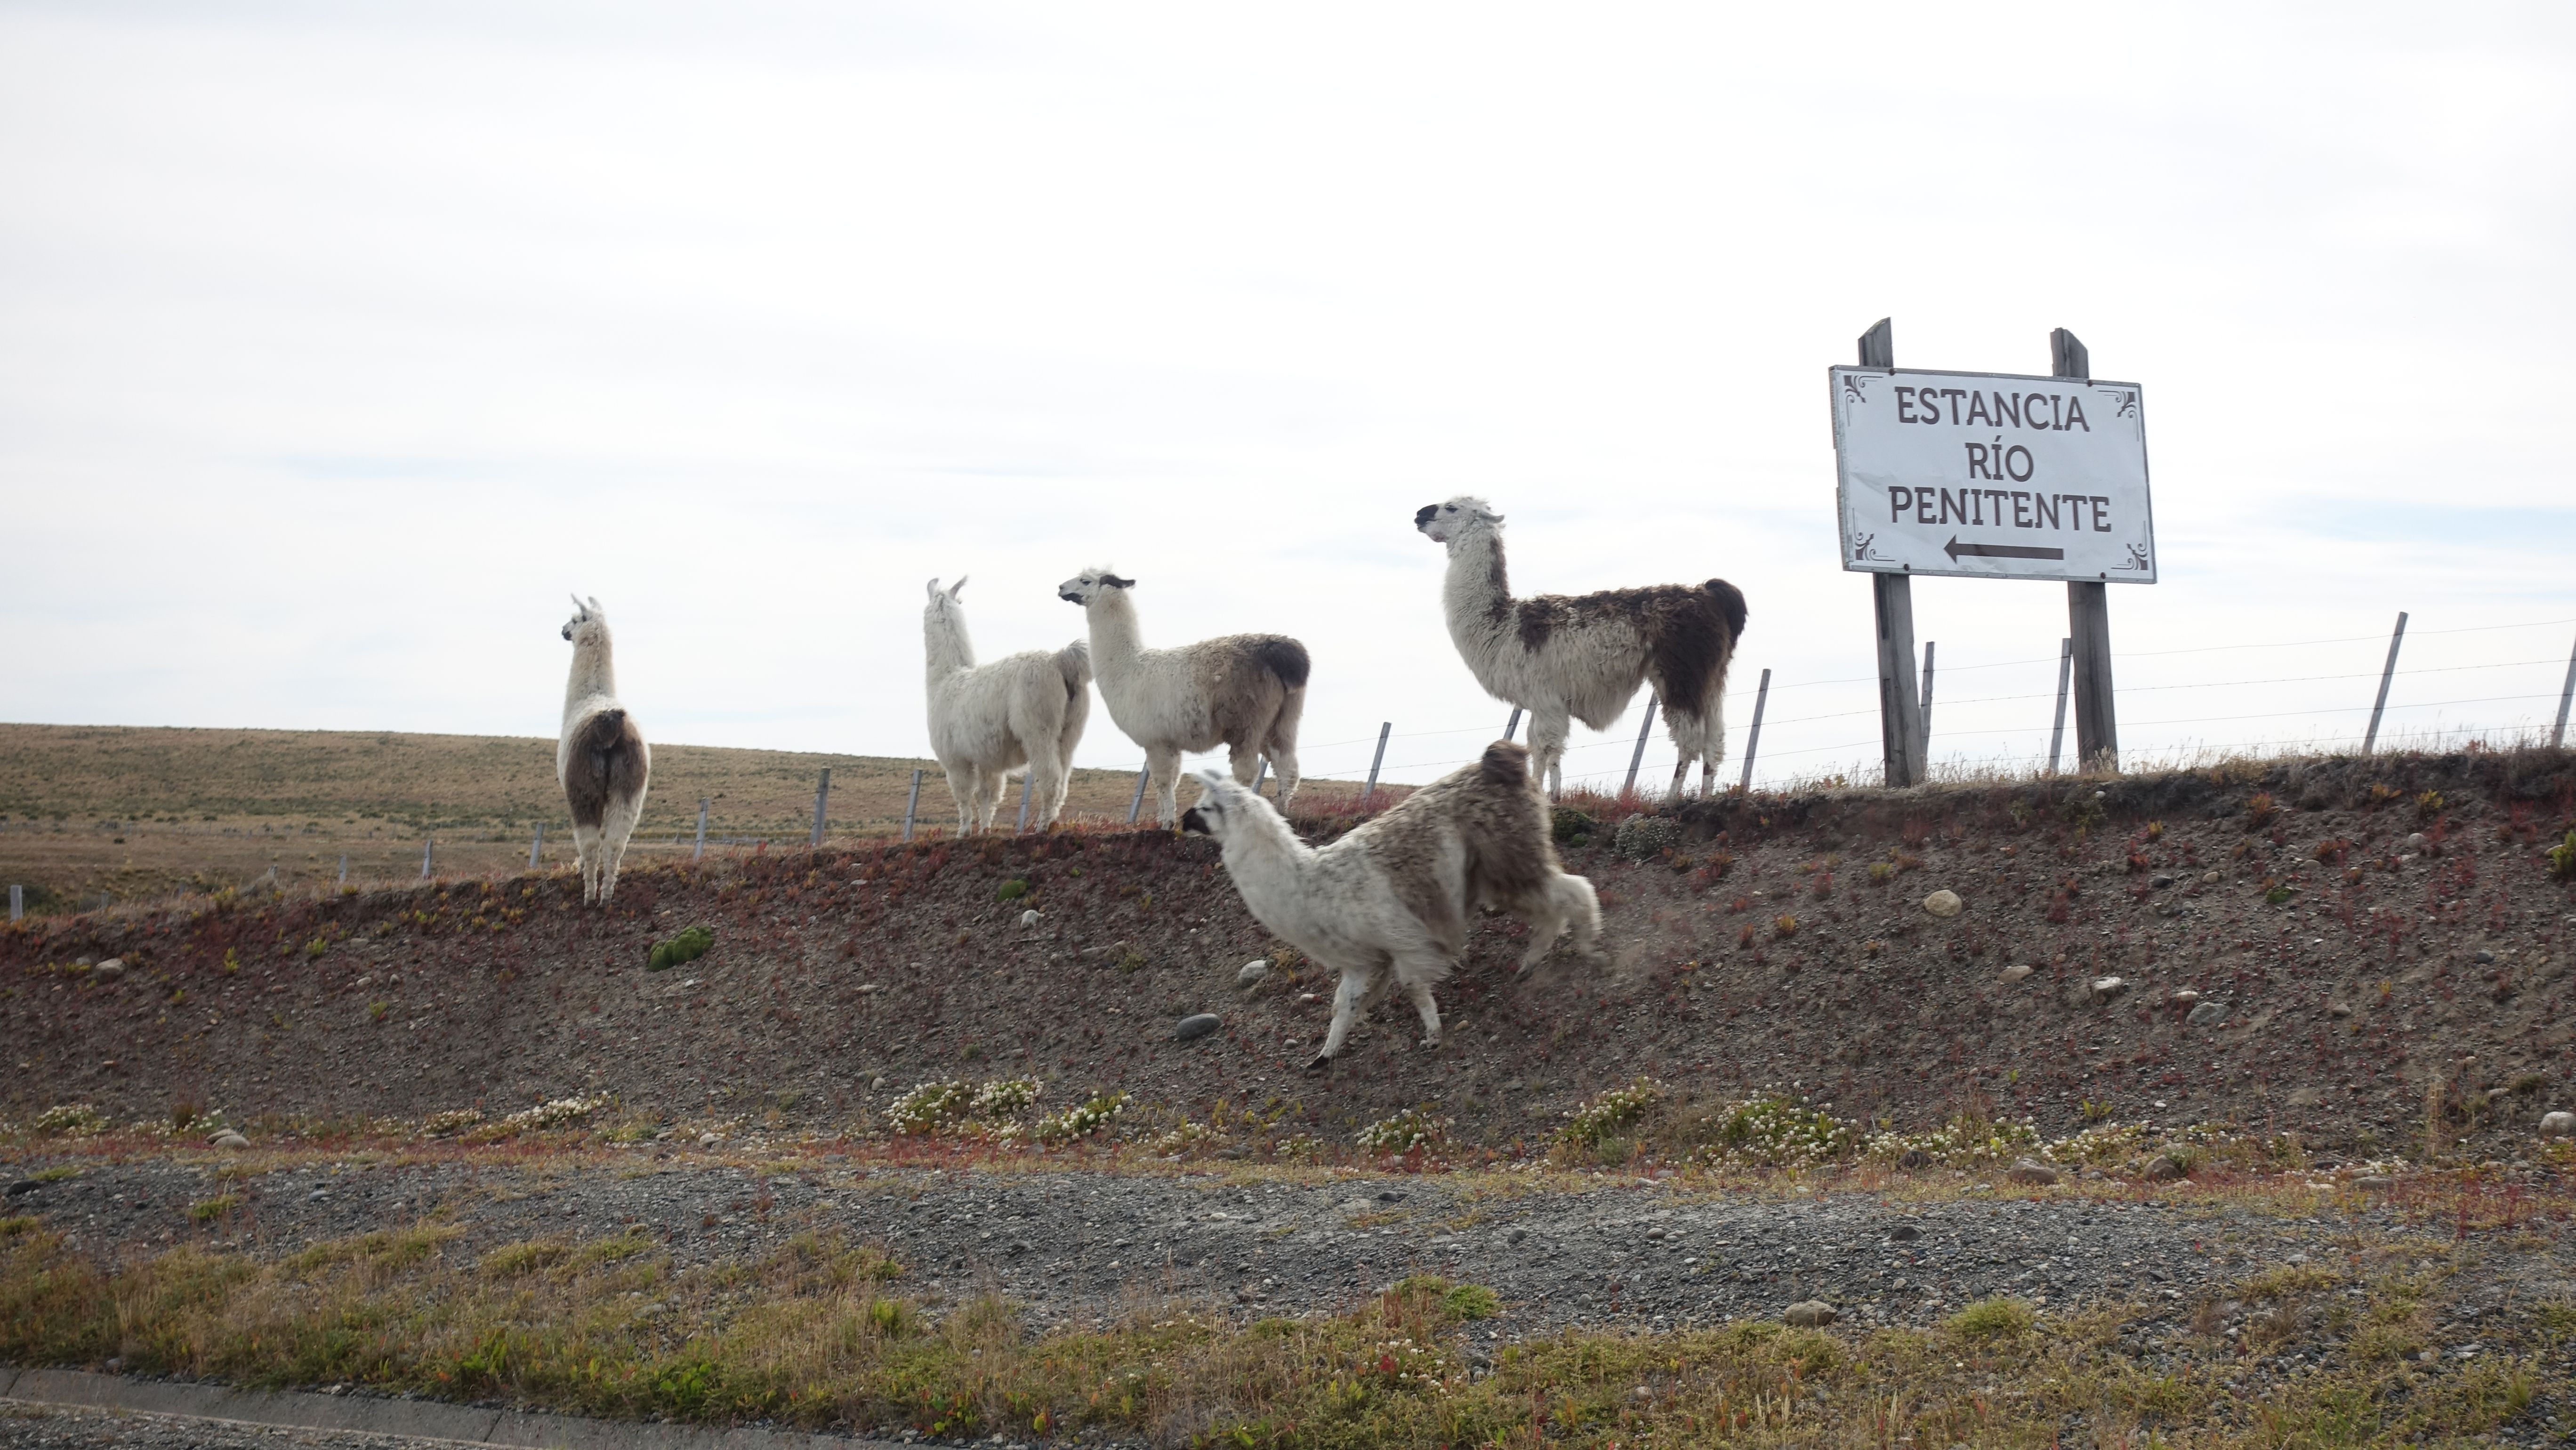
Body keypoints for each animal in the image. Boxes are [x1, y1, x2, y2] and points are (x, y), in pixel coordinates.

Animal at [557, 594, 650, 906]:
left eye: (575, 619)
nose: (563, 631)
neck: (592, 696)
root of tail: (609, 721)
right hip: (630, 787)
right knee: (616, 841)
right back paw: (607, 895)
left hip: (583, 785)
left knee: (589, 842)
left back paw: (589, 895)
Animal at [923, 576, 1093, 833]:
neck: (945, 680)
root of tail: (1060, 660)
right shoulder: (987, 758)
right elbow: (988, 794)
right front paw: (984, 830)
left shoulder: (954, 757)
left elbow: (963, 794)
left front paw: (964, 831)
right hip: (1071, 730)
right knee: (1063, 779)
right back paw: (1051, 821)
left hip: (1038, 726)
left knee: (1050, 776)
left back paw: (1041, 826)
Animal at [1057, 567, 1308, 826]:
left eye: (1085, 581)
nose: (1061, 588)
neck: (1129, 668)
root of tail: (1281, 651)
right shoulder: (1170, 740)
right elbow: (1172, 779)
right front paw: (1164, 819)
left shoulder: (1155, 739)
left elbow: (1163, 779)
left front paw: (1167, 823)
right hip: (1284, 718)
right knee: (1287, 766)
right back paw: (1282, 814)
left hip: (1246, 720)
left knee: (1246, 772)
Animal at [1181, 739, 1602, 1070]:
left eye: (1205, 807)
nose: (1183, 820)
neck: (1314, 885)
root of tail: (1500, 760)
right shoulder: (1363, 959)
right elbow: (1344, 1005)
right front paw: (1324, 1056)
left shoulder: (1405, 941)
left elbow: (1414, 987)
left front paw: (1433, 1035)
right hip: (1496, 869)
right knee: (1552, 902)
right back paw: (1532, 963)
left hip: (1508, 855)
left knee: (1573, 890)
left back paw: (1585, 947)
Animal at [1417, 496, 1747, 801]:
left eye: (1450, 507)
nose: (1420, 515)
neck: (1502, 622)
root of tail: (1708, 593)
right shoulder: (1537, 700)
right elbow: (1534, 747)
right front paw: (1535, 792)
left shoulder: (1547, 698)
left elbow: (1549, 747)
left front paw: (1553, 798)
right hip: (1711, 676)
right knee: (1714, 739)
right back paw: (1706, 798)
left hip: (1681, 673)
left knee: (1689, 739)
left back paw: (1672, 799)